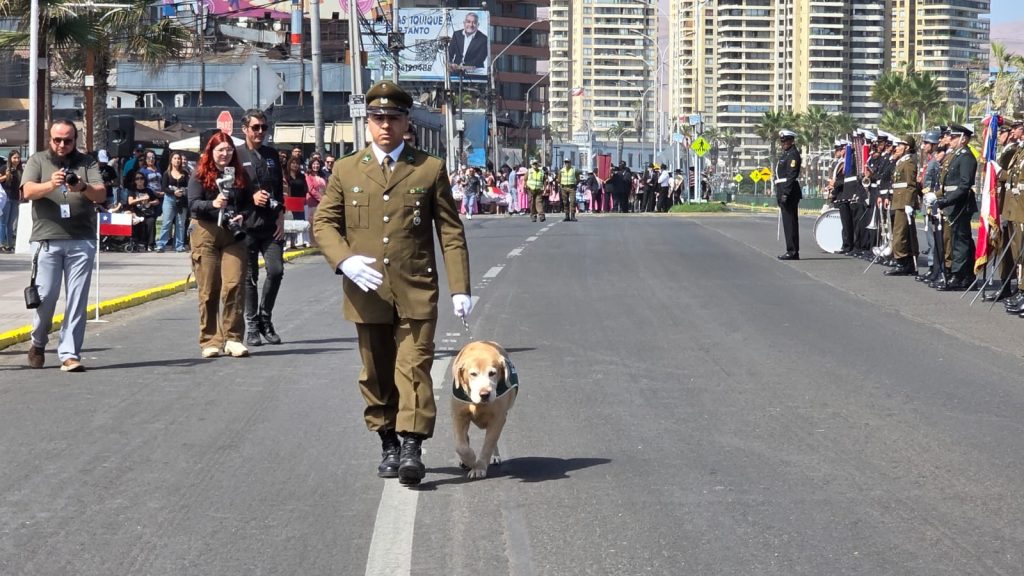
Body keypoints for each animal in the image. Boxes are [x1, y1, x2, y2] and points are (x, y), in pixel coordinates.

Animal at [450, 340, 518, 479]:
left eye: (492, 373)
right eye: (473, 374)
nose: (485, 394)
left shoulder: (498, 419)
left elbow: (488, 444)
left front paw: (479, 467)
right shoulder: (459, 416)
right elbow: (461, 446)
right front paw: (470, 459)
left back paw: (495, 456)